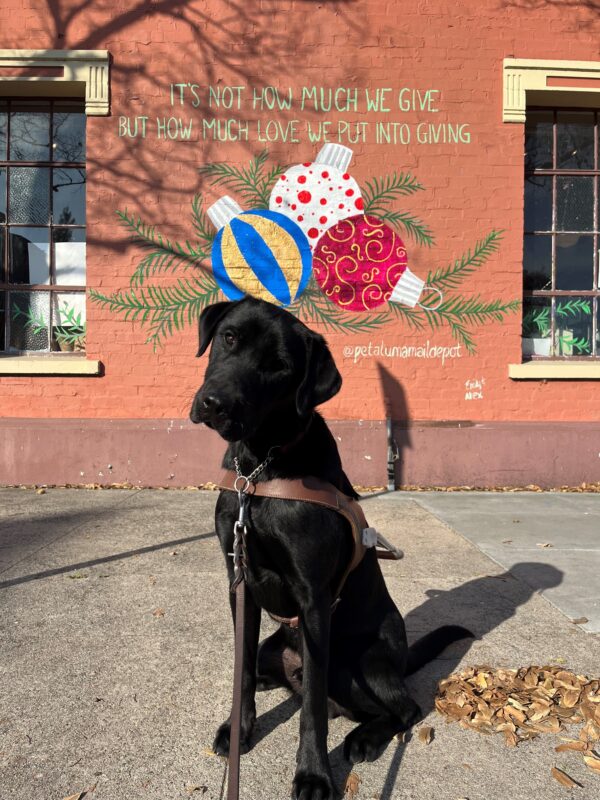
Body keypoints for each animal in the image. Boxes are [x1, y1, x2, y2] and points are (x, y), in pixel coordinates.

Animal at [190, 297, 471, 800]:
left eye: (280, 367)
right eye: (229, 338)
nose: (215, 403)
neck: (260, 470)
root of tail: (401, 661)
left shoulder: (314, 599)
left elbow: (313, 712)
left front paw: (313, 775)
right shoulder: (239, 582)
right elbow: (241, 675)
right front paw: (239, 730)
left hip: (357, 663)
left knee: (402, 707)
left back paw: (365, 738)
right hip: (275, 645)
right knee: (270, 669)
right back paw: (275, 680)